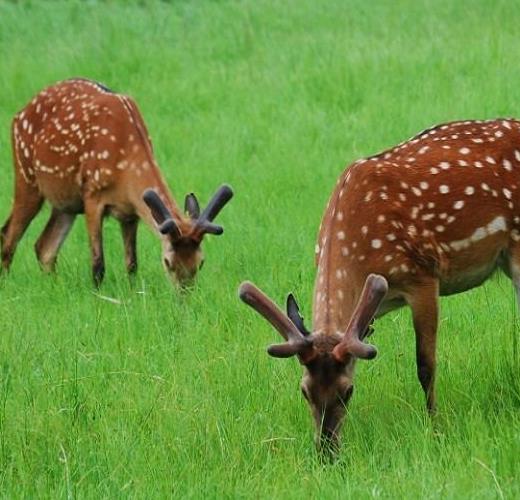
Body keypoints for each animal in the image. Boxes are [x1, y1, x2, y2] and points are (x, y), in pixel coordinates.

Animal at [0, 80, 232, 288]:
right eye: (168, 262)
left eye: (200, 263)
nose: (184, 295)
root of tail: (18, 115)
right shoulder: (92, 195)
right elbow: (98, 265)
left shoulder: (131, 212)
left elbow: (132, 264)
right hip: (27, 176)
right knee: (8, 236)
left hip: (65, 202)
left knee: (45, 247)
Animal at [239, 119, 520, 456]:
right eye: (305, 391)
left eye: (348, 391)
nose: (327, 451)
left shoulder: (423, 275)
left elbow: (426, 365)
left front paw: (435, 428)